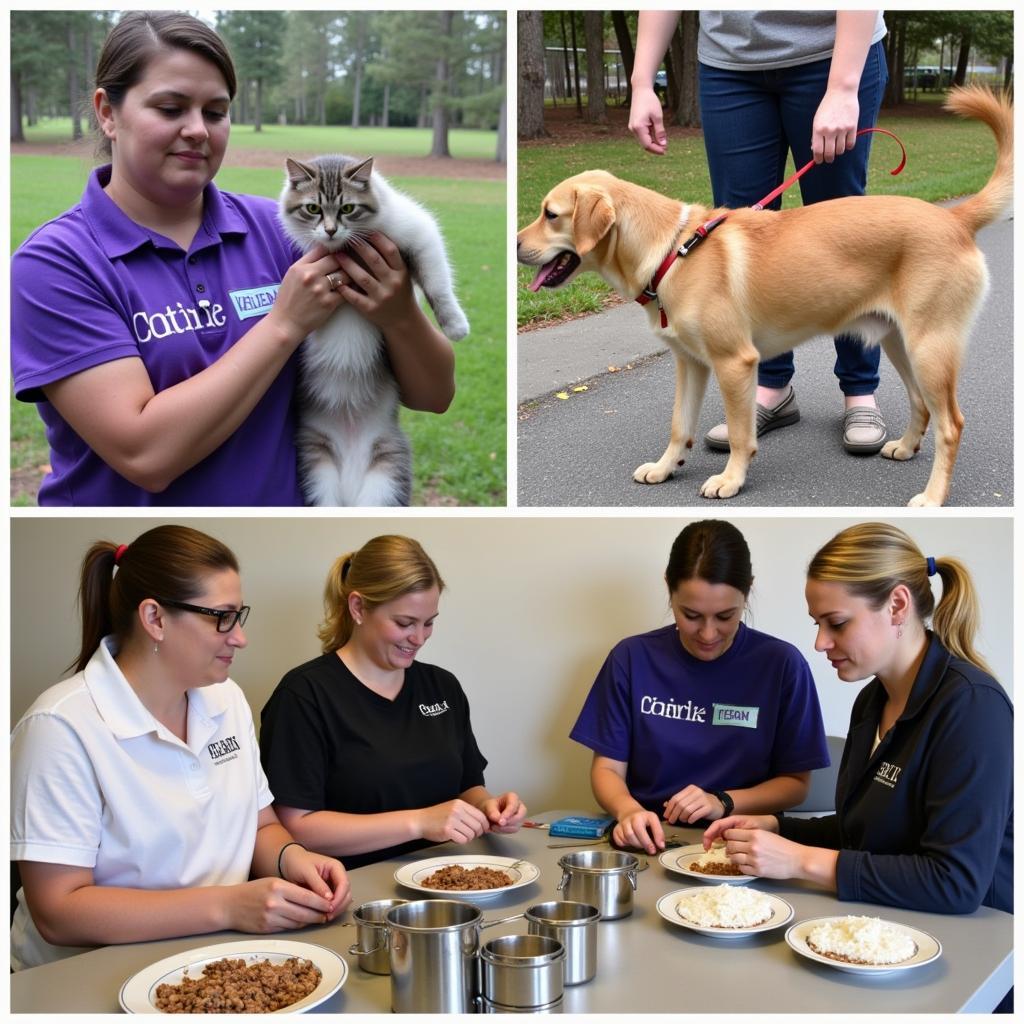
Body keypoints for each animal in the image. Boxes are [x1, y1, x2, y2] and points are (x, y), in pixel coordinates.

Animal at [276, 153, 468, 505]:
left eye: (348, 208)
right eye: (313, 208)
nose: (330, 231)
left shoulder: (418, 231)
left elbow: (436, 283)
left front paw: (454, 323)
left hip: (386, 472)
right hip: (316, 466)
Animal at [516, 88, 1011, 507]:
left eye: (550, 214)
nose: (515, 244)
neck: (673, 250)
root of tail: (954, 219)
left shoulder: (735, 364)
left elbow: (740, 435)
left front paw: (731, 479)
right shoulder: (690, 363)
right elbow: (679, 426)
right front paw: (665, 466)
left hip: (930, 350)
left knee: (951, 425)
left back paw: (933, 496)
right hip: (900, 344)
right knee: (921, 406)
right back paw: (906, 447)